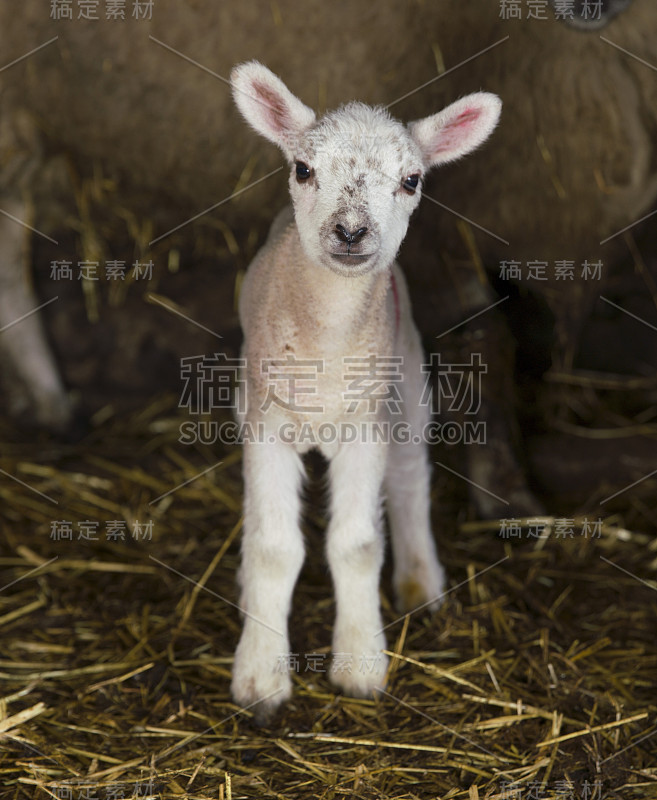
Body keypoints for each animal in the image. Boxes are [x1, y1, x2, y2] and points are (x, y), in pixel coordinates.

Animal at [228, 61, 500, 724]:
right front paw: (260, 677)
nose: (350, 231)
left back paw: (420, 584)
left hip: (407, 386)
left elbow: (355, 545)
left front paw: (359, 666)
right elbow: (273, 549)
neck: (327, 347)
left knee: (408, 480)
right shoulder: (266, 425)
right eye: (303, 169)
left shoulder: (365, 430)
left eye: (412, 179)